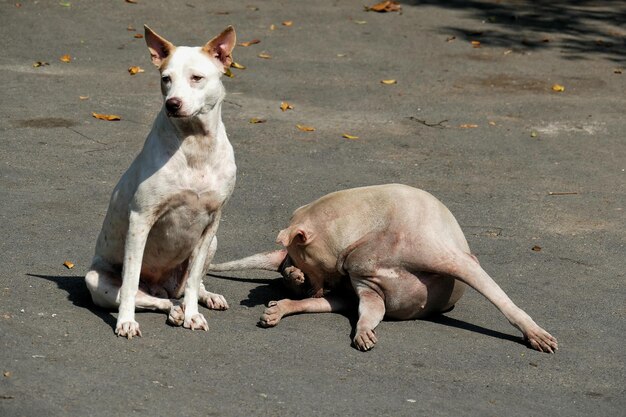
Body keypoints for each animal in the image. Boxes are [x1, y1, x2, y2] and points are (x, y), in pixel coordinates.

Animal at [85, 23, 236, 338]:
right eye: (166, 79)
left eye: (196, 78)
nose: (172, 104)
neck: (195, 144)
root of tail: (161, 285)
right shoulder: (140, 219)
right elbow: (130, 282)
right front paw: (126, 322)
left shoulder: (212, 222)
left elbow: (193, 280)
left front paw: (193, 315)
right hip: (96, 279)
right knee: (151, 298)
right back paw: (171, 310)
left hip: (212, 243)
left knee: (188, 287)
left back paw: (201, 300)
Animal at [210, 184, 556, 352]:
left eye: (300, 255)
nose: (295, 271)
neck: (364, 232)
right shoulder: (368, 292)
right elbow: (368, 314)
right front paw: (363, 331)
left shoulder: (460, 264)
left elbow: (506, 304)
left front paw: (533, 333)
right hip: (342, 294)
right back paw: (282, 304)